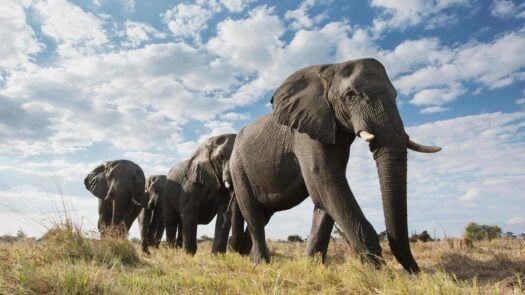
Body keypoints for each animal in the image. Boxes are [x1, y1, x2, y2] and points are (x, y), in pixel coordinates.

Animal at [231, 58, 440, 276]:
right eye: (350, 96)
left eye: (396, 95)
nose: (415, 273)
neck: (330, 69)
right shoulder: (306, 133)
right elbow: (326, 181)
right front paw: (378, 272)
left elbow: (325, 196)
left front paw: (311, 267)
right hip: (238, 167)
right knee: (253, 214)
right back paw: (261, 264)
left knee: (264, 214)